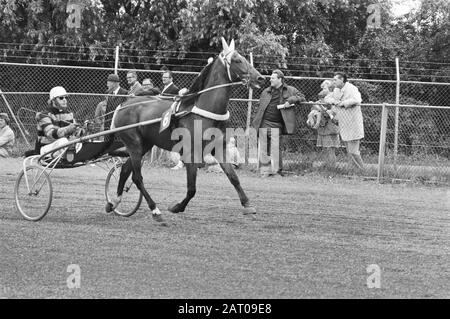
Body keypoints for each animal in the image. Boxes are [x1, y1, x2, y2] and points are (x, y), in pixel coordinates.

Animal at [107, 38, 266, 222]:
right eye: (237, 60)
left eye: (245, 58)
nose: (261, 78)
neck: (202, 110)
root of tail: (123, 105)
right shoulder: (191, 153)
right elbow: (192, 189)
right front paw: (177, 207)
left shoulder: (219, 148)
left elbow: (233, 177)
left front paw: (247, 204)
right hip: (134, 144)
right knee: (137, 177)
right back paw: (155, 210)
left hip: (144, 144)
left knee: (126, 170)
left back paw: (114, 202)